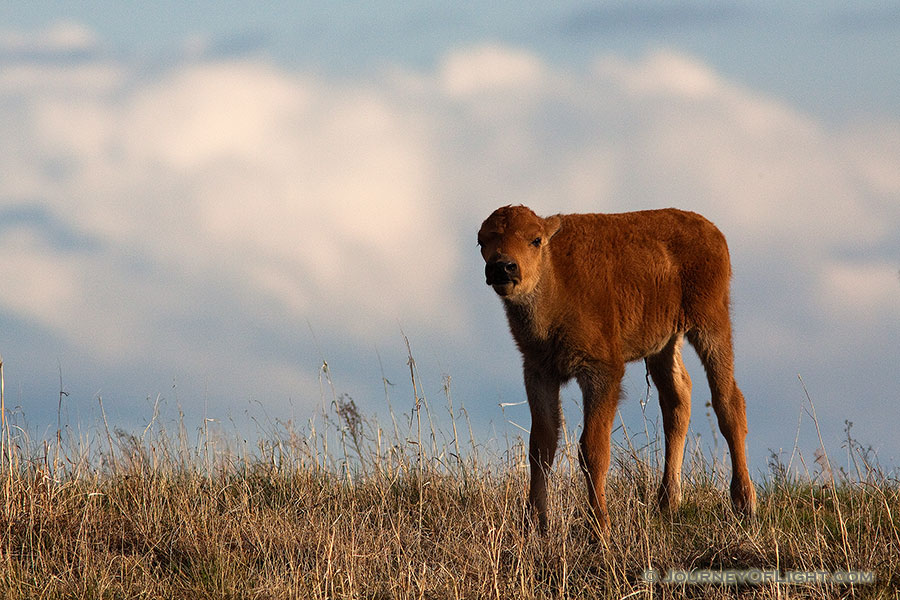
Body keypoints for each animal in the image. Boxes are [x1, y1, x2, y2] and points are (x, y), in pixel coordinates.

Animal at [478, 205, 760, 528]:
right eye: (482, 241)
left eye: (535, 240)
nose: (503, 267)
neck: (555, 277)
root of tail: (711, 230)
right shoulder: (539, 372)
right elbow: (541, 446)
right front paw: (534, 525)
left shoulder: (601, 372)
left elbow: (593, 450)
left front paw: (600, 527)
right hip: (664, 344)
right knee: (677, 401)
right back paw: (667, 503)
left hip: (711, 325)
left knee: (728, 402)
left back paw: (744, 503)